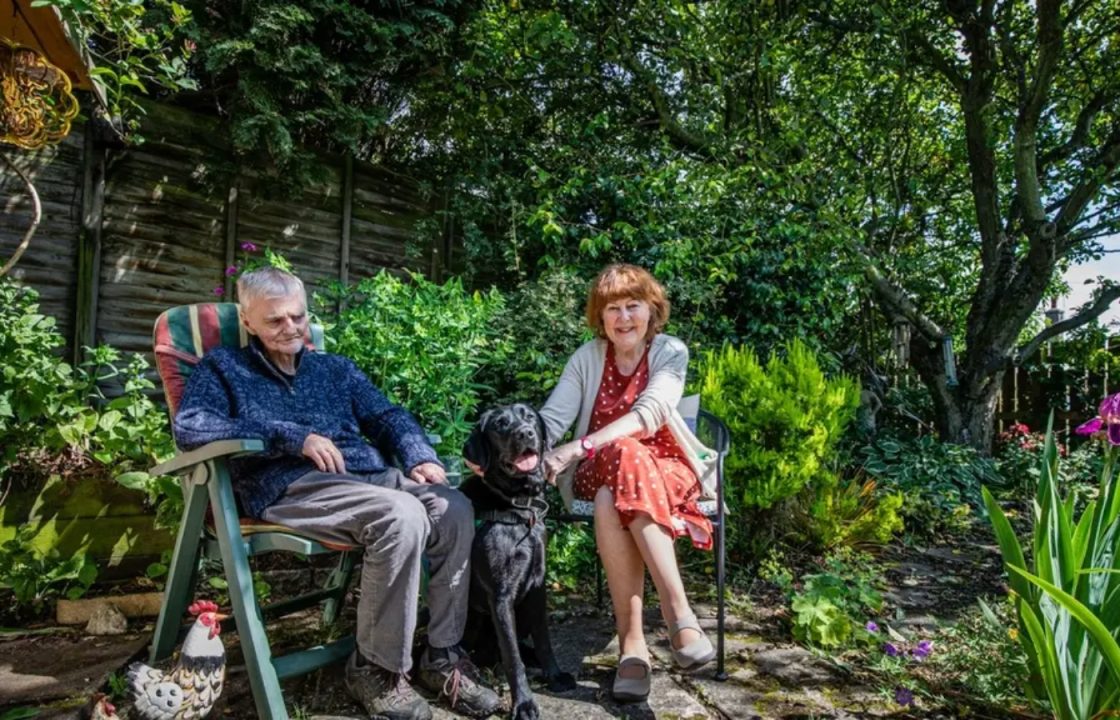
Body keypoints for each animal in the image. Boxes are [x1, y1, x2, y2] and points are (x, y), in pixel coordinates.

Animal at [459, 403, 577, 716]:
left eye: (529, 417)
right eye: (500, 424)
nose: (525, 433)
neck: (519, 509)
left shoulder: (537, 585)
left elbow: (544, 638)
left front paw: (554, 675)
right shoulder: (500, 595)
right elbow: (512, 658)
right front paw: (524, 703)